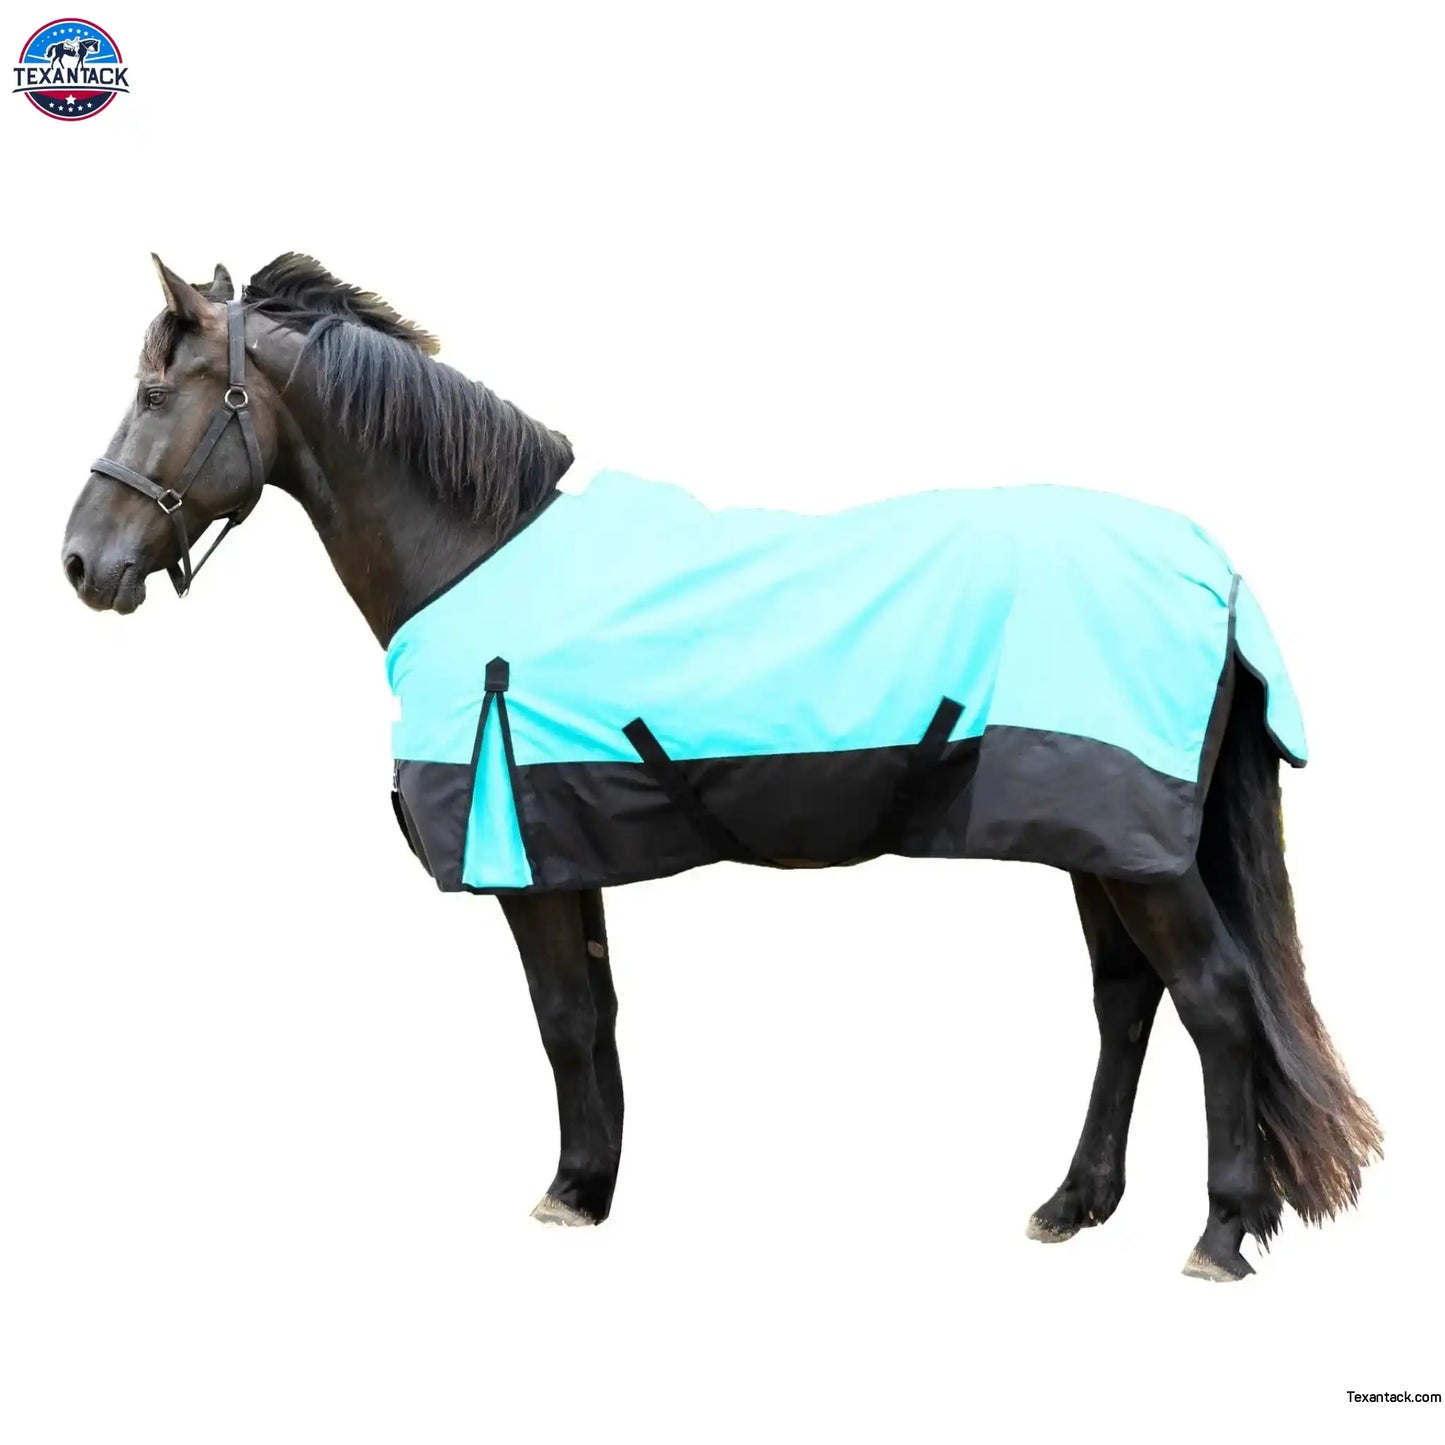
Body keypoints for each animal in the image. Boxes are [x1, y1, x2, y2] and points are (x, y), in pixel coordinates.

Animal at [60, 253, 1382, 1282]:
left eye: (152, 392)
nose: (80, 561)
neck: (476, 552)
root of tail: (1210, 570)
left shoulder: (523, 853)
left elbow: (560, 1016)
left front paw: (566, 1191)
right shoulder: (563, 845)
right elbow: (592, 1014)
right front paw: (591, 1182)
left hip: (1136, 852)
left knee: (1213, 1000)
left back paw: (1217, 1232)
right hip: (1093, 840)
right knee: (1125, 1001)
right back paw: (1073, 1204)